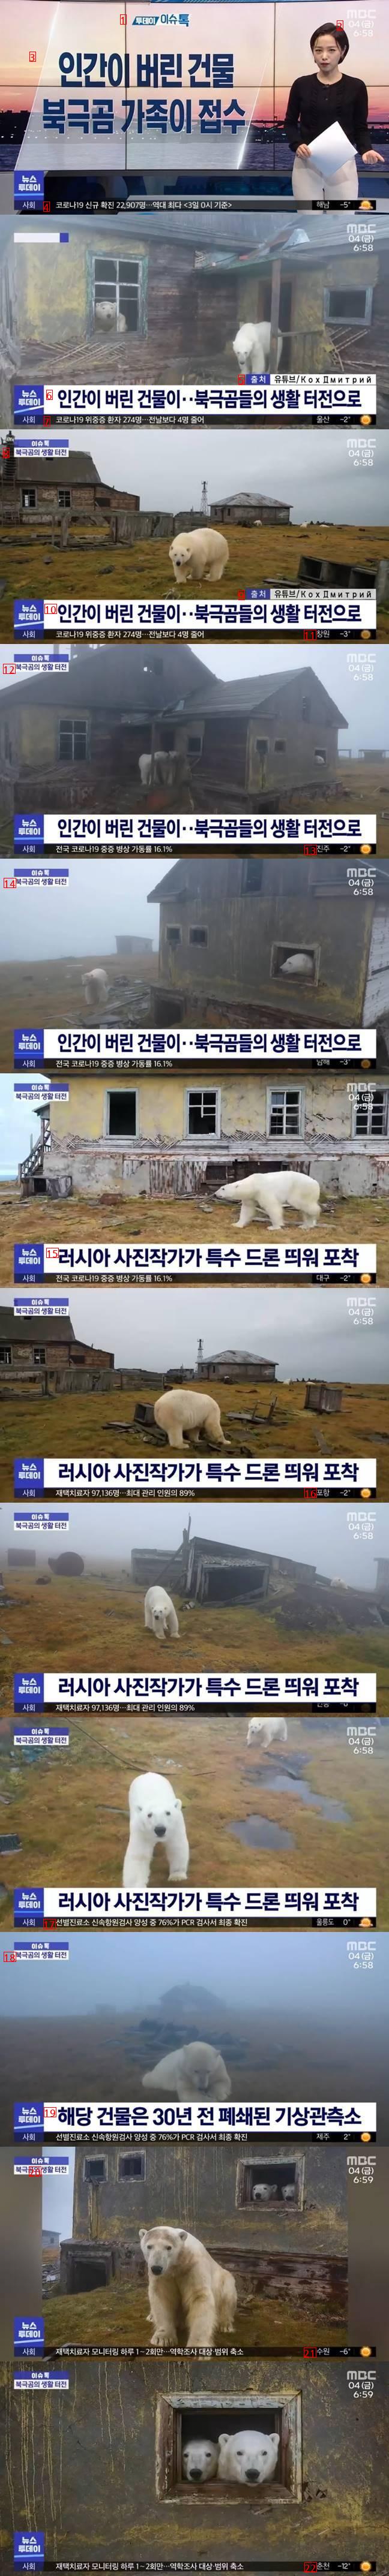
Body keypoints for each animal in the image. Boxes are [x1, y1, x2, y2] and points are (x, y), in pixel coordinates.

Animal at [121, 1772, 188, 1895]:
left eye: (168, 1813)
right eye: (149, 1815)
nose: (160, 1829)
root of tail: (149, 1773)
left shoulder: (175, 1828)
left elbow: (177, 1847)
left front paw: (177, 1877)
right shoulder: (141, 1831)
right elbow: (140, 1856)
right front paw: (137, 1887)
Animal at [139, 2215, 237, 2360]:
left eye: (169, 2247)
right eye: (149, 2246)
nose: (156, 2268)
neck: (177, 2264)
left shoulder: (193, 2267)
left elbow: (199, 2298)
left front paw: (198, 2348)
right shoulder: (164, 2276)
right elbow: (162, 2297)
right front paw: (163, 2338)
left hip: (224, 2279)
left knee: (228, 2294)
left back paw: (225, 2325)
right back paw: (151, 2317)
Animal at [144, 2040, 232, 2102]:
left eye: (208, 2071)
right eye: (196, 2071)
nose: (202, 2088)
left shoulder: (219, 2068)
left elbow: (222, 2081)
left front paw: (218, 2096)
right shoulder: (184, 2073)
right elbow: (189, 2091)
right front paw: (209, 2100)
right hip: (158, 2077)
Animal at [152, 1391, 231, 1452]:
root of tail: (158, 1406)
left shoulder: (198, 1419)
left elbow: (195, 1430)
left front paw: (198, 1440)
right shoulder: (212, 1411)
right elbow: (213, 1424)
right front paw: (226, 1441)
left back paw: (186, 1440)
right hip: (173, 1414)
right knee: (175, 1430)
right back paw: (183, 1445)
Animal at [216, 1179, 319, 1236]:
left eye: (223, 1189)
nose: (216, 1194)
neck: (254, 1184)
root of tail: (316, 1183)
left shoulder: (263, 1191)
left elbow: (272, 1207)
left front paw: (274, 1227)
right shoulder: (251, 1196)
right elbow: (247, 1209)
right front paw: (237, 1224)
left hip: (302, 1190)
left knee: (305, 1205)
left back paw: (312, 1221)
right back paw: (305, 1225)